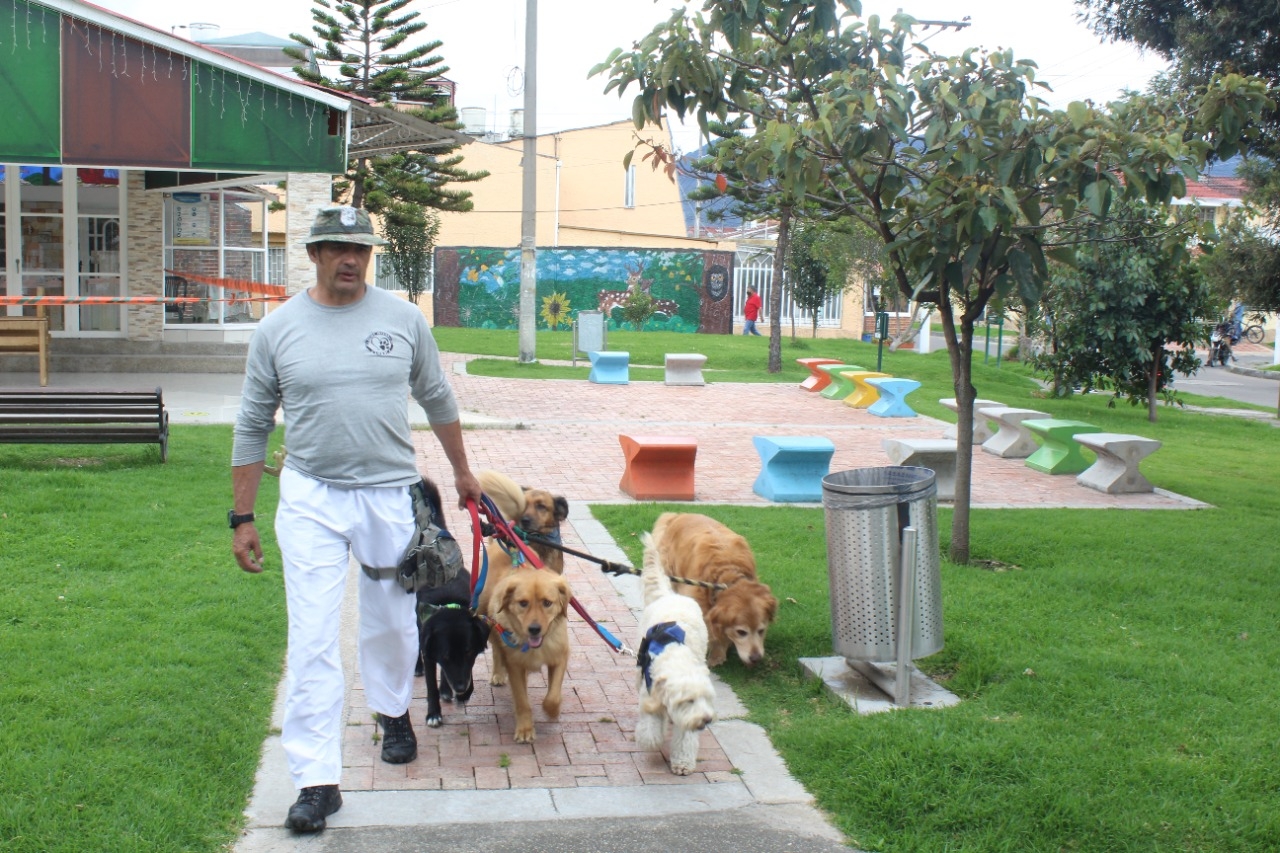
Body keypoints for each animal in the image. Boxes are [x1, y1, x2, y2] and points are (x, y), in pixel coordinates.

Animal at [481, 563, 573, 742]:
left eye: (547, 603)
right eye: (523, 603)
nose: (534, 629)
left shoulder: (560, 657)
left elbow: (552, 697)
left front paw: (552, 711)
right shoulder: (515, 667)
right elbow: (522, 702)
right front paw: (525, 729)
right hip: (490, 625)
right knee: (497, 651)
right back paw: (498, 674)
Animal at [634, 527, 716, 773]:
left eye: (706, 698)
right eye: (688, 700)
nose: (706, 720)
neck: (674, 651)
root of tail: (669, 595)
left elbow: (685, 738)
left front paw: (683, 762)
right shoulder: (650, 692)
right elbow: (651, 728)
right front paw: (651, 738)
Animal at [650, 507, 778, 666]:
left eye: (761, 630)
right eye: (741, 632)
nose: (756, 658)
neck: (728, 571)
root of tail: (677, 515)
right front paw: (716, 654)